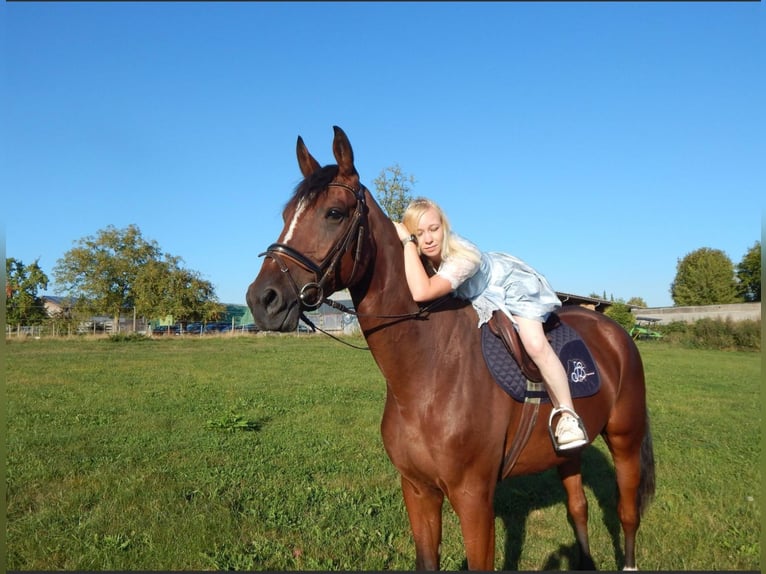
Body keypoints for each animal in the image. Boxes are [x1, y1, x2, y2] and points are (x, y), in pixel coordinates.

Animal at [246, 126, 656, 572]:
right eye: (287, 216)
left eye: (334, 213)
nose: (262, 299)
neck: (430, 372)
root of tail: (616, 332)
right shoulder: (418, 490)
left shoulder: (474, 500)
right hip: (568, 456)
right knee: (577, 508)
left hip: (625, 439)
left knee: (627, 513)